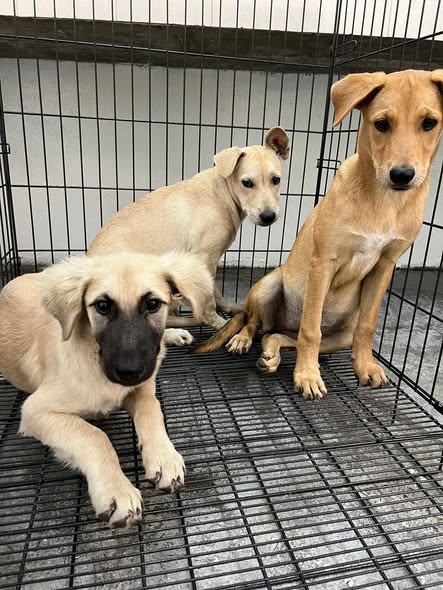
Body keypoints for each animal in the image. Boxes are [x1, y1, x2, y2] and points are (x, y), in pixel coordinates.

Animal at [0, 252, 213, 527]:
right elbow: (95, 436)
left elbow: (151, 409)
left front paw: (164, 457)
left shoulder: (142, 387)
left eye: (153, 304)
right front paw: (116, 489)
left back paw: (174, 334)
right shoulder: (36, 411)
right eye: (102, 306)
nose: (129, 371)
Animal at [88, 127, 289, 330]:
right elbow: (209, 301)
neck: (223, 192)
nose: (268, 216)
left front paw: (230, 308)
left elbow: (215, 292)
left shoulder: (209, 261)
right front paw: (219, 323)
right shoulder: (204, 258)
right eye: (246, 183)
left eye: (276, 180)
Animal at [195, 69, 443, 400]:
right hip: (269, 285)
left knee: (279, 336)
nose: (402, 175)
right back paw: (243, 340)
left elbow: (367, 326)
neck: (383, 201)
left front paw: (366, 367)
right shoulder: (324, 262)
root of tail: (281, 323)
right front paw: (308, 376)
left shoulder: (384, 266)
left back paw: (272, 354)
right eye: (381, 124)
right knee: (256, 323)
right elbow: (310, 330)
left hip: (340, 335)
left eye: (429, 123)